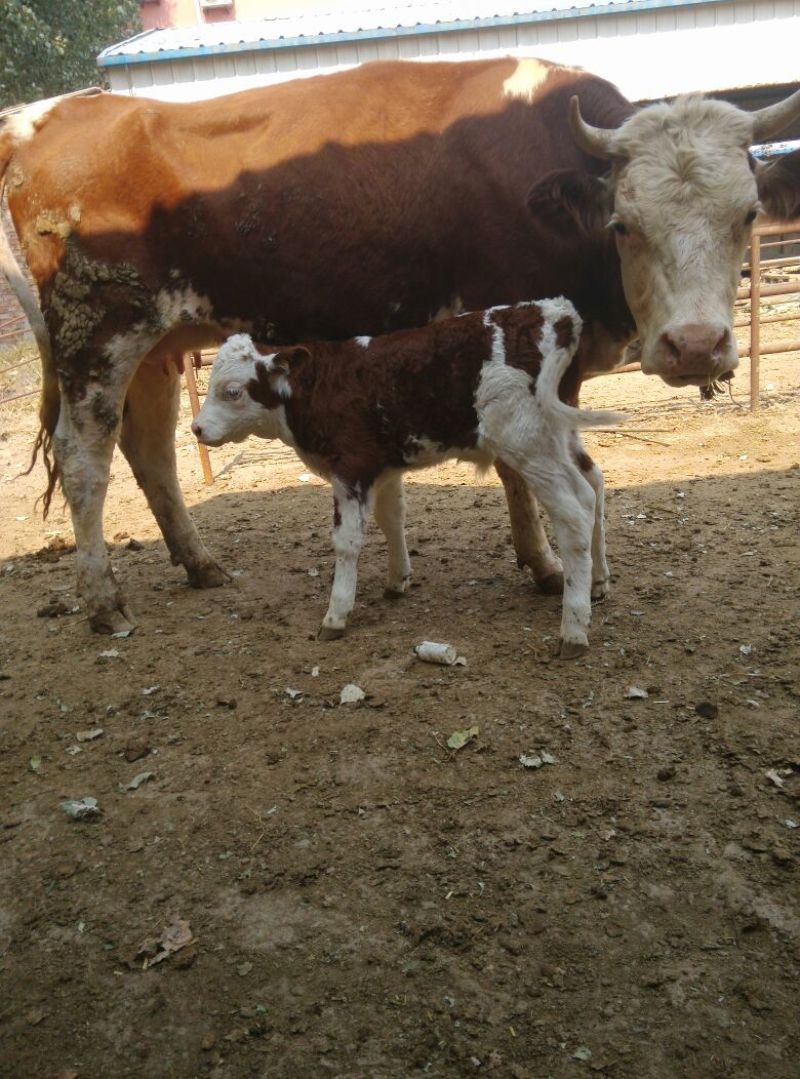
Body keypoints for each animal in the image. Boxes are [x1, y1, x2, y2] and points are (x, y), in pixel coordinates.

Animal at [193, 299, 626, 651]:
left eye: (232, 391)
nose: (196, 428)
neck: (319, 385)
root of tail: (552, 311)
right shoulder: (382, 467)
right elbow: (392, 518)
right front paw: (397, 579)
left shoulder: (350, 468)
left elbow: (347, 542)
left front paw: (336, 614)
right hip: (559, 435)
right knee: (593, 485)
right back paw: (598, 582)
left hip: (528, 443)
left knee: (573, 513)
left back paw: (573, 629)